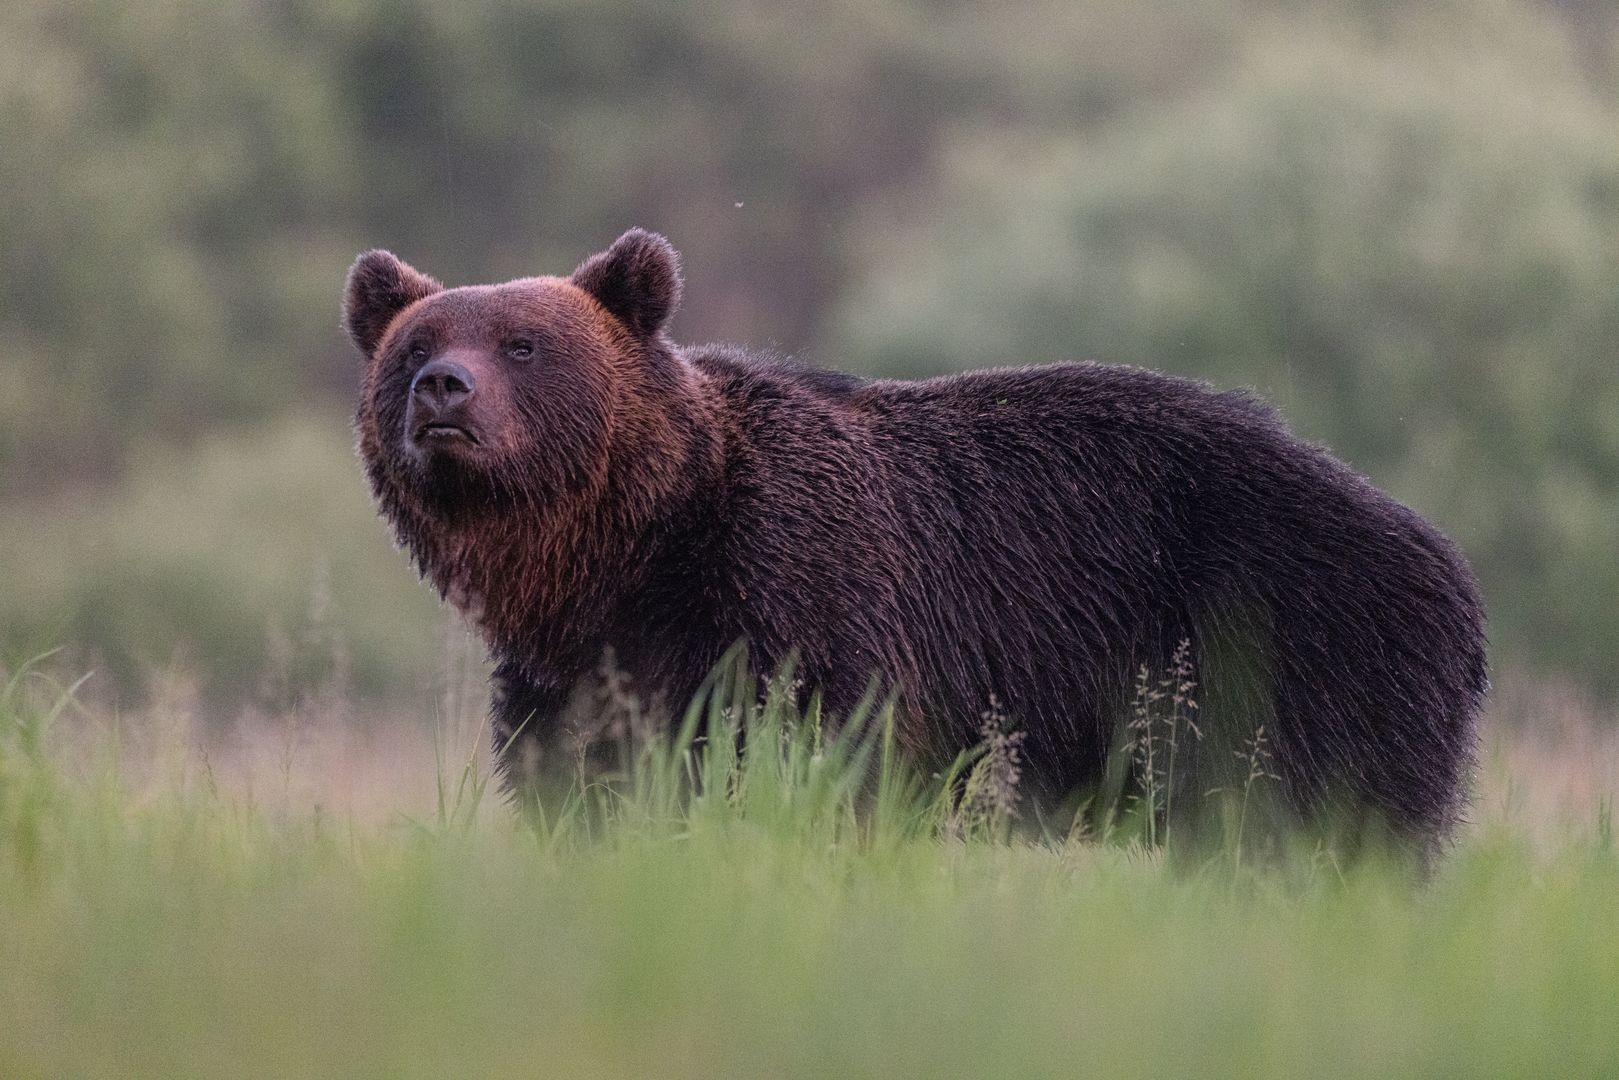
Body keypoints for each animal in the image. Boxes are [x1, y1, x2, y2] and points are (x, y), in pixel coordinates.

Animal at [348, 228, 1483, 854]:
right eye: (416, 342)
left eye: (521, 342)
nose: (441, 390)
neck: (625, 554)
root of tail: (1445, 559)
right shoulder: (573, 673)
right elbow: (585, 784)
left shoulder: (795, 594)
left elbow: (803, 759)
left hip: (1294, 655)